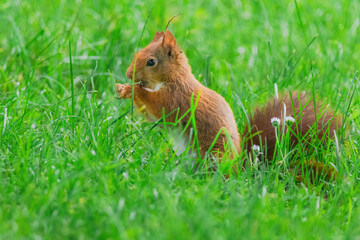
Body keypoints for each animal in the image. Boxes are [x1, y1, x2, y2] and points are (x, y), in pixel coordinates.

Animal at [116, 30, 342, 180]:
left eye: (151, 62)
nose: (128, 74)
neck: (174, 77)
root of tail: (240, 167)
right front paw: (123, 88)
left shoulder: (176, 97)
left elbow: (158, 107)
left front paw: (131, 90)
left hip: (213, 155)